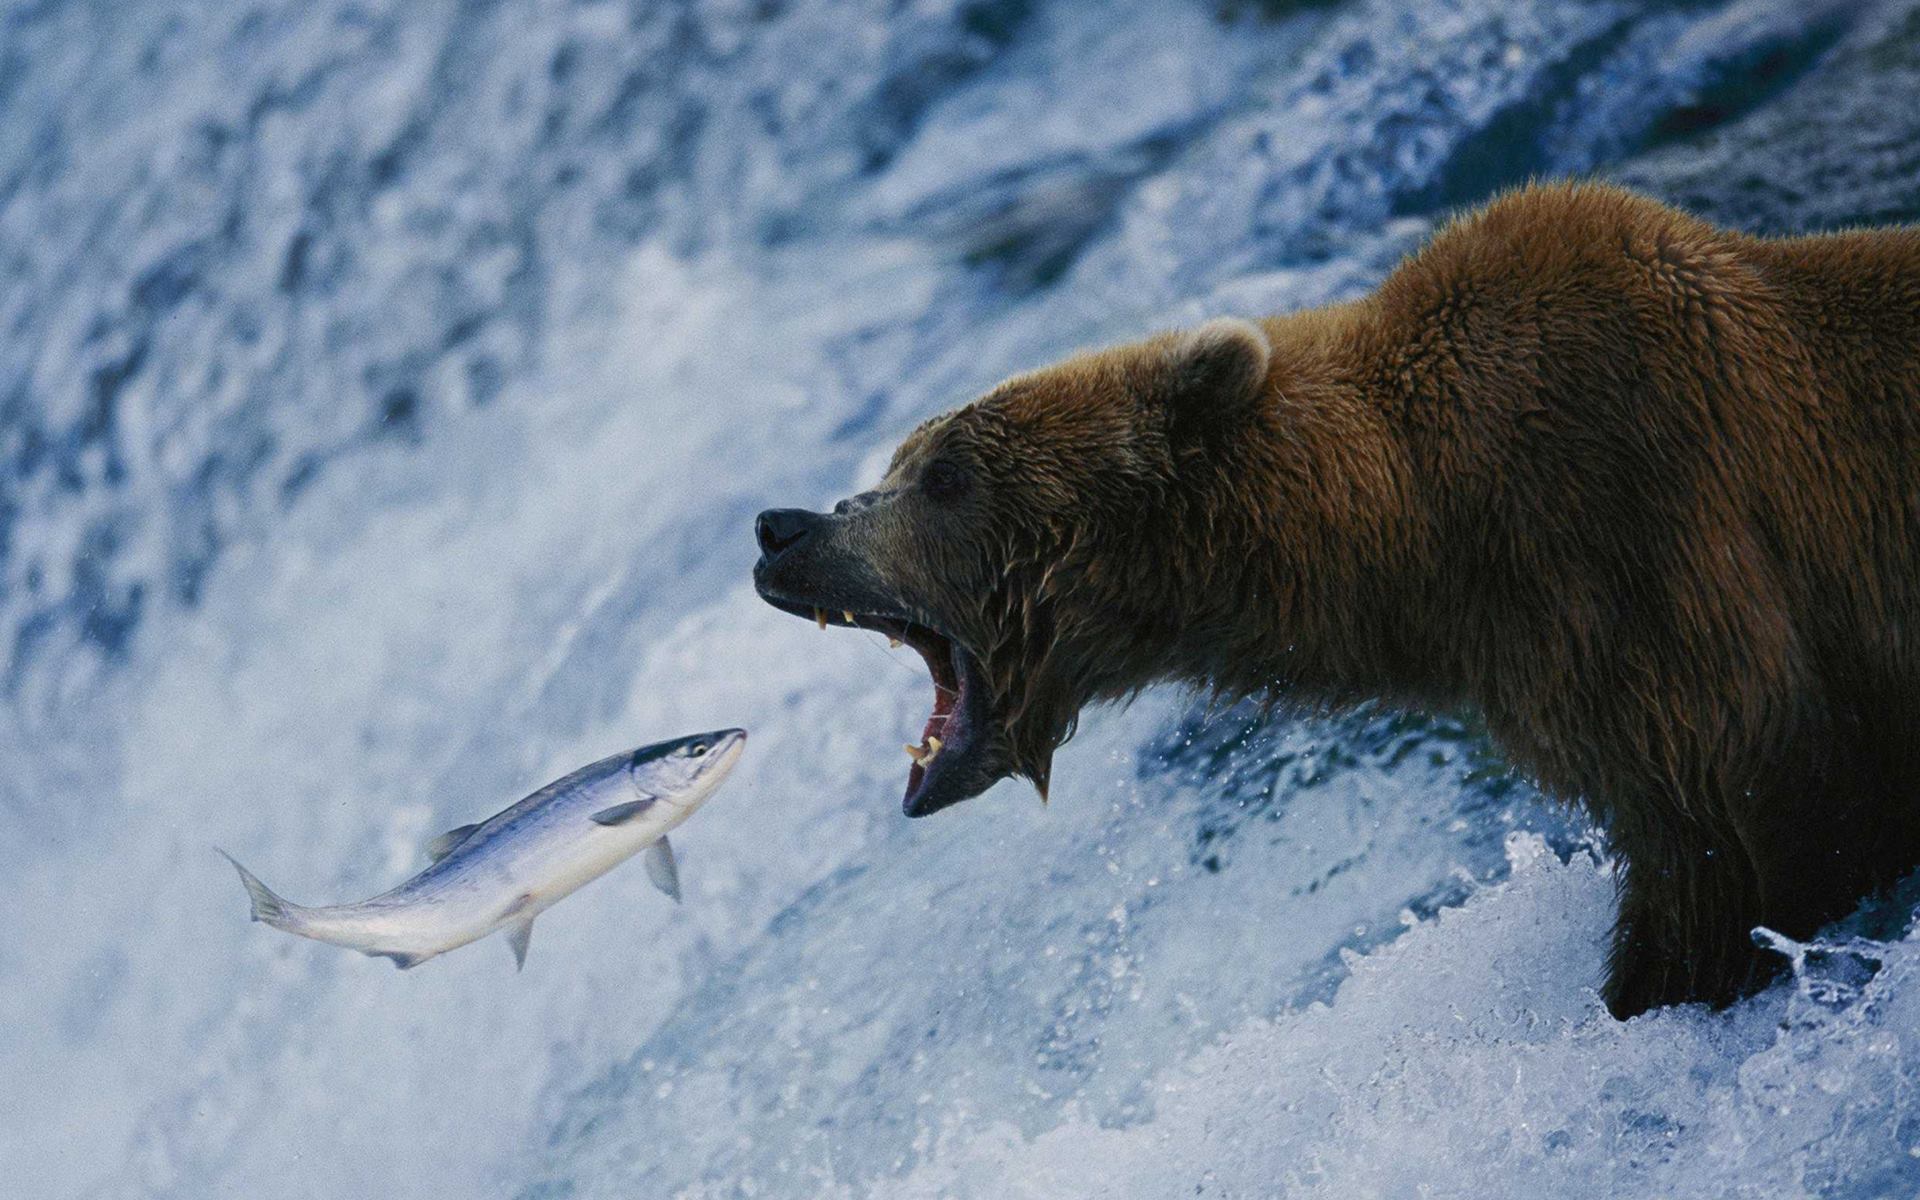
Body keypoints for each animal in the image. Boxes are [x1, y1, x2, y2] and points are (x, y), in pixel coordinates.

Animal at [751, 181, 1920, 1018]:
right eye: (897, 461)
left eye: (944, 476)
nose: (783, 529)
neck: (1429, 527)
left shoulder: (1648, 551)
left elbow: (1740, 825)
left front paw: (1661, 987)